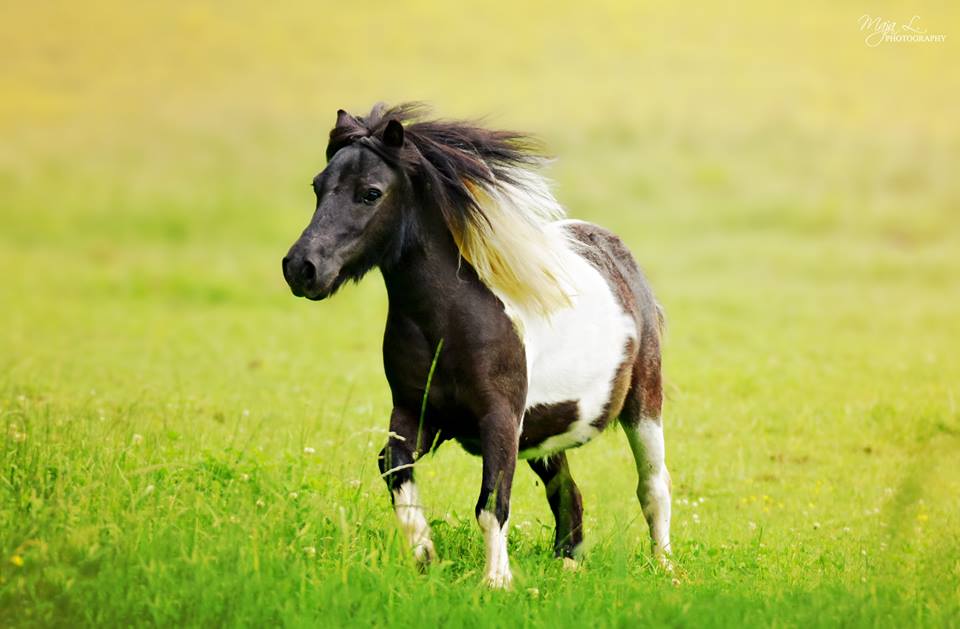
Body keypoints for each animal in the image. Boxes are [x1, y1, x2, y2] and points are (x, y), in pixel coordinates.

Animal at [284, 104, 676, 588]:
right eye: (318, 186)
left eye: (370, 193)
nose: (301, 268)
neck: (449, 324)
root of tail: (619, 256)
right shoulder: (417, 415)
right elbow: (394, 468)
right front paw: (425, 557)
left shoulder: (500, 420)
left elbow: (492, 502)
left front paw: (496, 582)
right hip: (543, 435)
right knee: (569, 493)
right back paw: (567, 563)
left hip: (643, 405)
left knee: (653, 486)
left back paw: (666, 569)